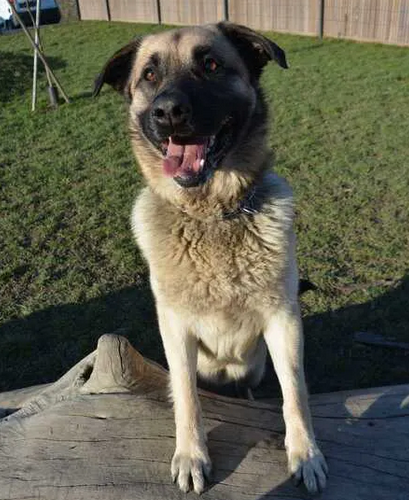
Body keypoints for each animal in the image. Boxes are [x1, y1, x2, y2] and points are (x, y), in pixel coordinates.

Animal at [94, 22, 326, 496]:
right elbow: (186, 396)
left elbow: (295, 392)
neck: (212, 216)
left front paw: (306, 453)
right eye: (149, 75)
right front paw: (191, 456)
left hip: (255, 364)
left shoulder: (284, 323)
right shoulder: (176, 330)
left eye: (212, 65)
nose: (168, 112)